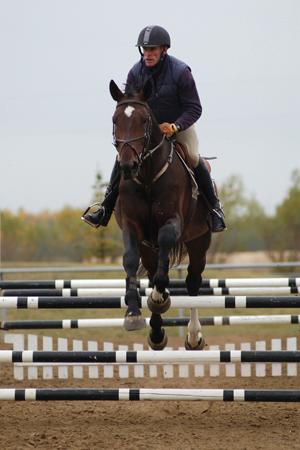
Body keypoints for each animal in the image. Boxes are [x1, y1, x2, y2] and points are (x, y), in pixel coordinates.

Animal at [109, 79, 211, 350]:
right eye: (114, 120)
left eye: (144, 120)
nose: (127, 166)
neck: (146, 177)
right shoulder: (132, 226)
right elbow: (130, 260)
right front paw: (133, 315)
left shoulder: (172, 221)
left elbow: (164, 254)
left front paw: (158, 298)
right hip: (149, 247)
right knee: (154, 268)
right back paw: (156, 334)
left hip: (199, 241)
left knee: (193, 281)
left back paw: (194, 336)